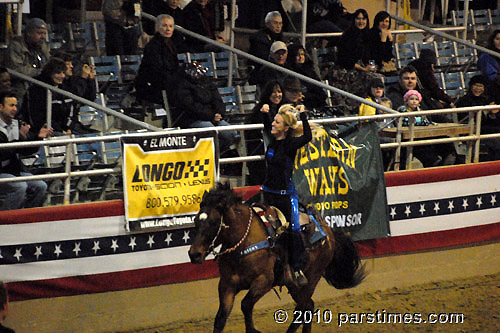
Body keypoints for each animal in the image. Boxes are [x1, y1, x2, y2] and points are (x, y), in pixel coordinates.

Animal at [188, 182, 364, 332]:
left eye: (214, 222)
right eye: (196, 220)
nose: (194, 254)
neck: (244, 241)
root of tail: (328, 232)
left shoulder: (264, 281)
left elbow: (245, 305)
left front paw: (253, 330)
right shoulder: (226, 284)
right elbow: (220, 318)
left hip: (311, 279)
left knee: (304, 308)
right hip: (294, 285)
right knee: (308, 307)